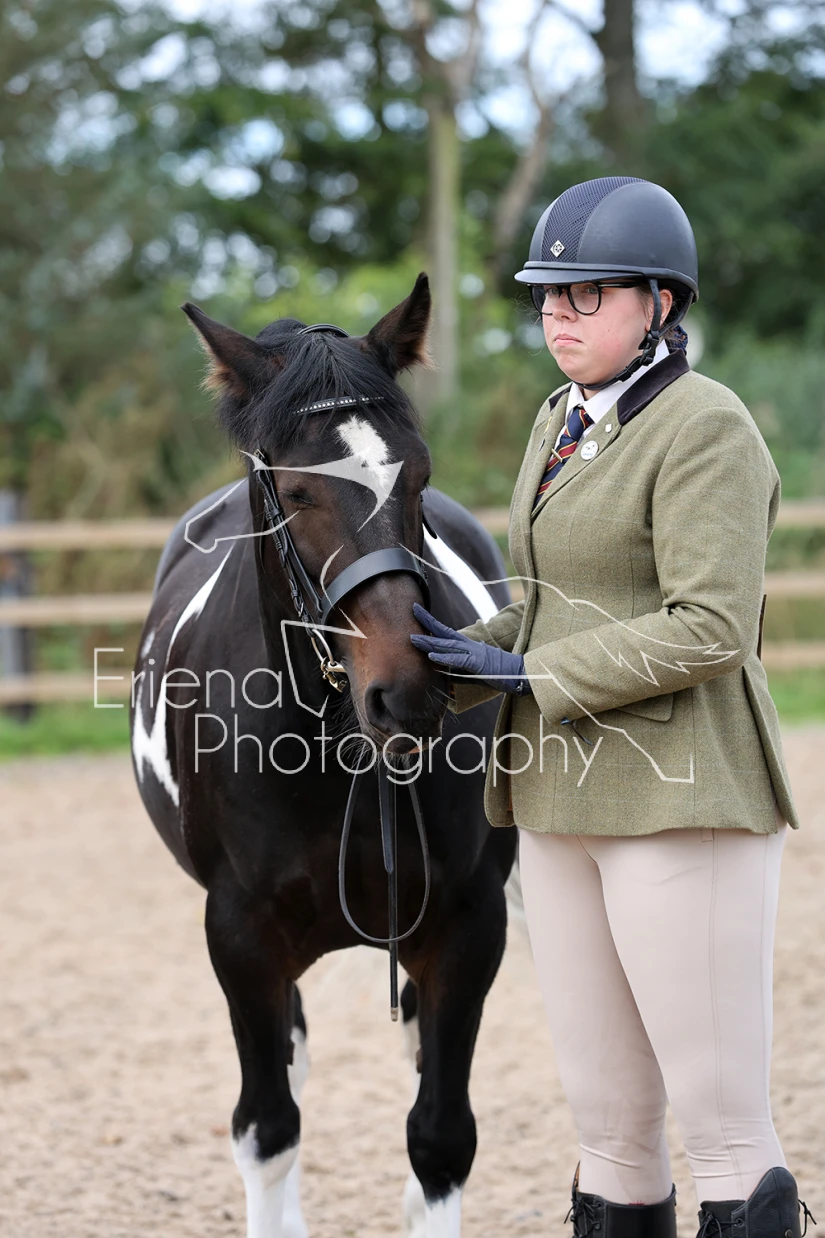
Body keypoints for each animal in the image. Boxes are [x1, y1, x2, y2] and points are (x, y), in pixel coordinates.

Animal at [129, 273, 518, 1238]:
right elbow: (267, 1129)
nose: (407, 691)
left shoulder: (468, 928)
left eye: (417, 474)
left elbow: (439, 1137)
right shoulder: (239, 938)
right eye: (300, 491)